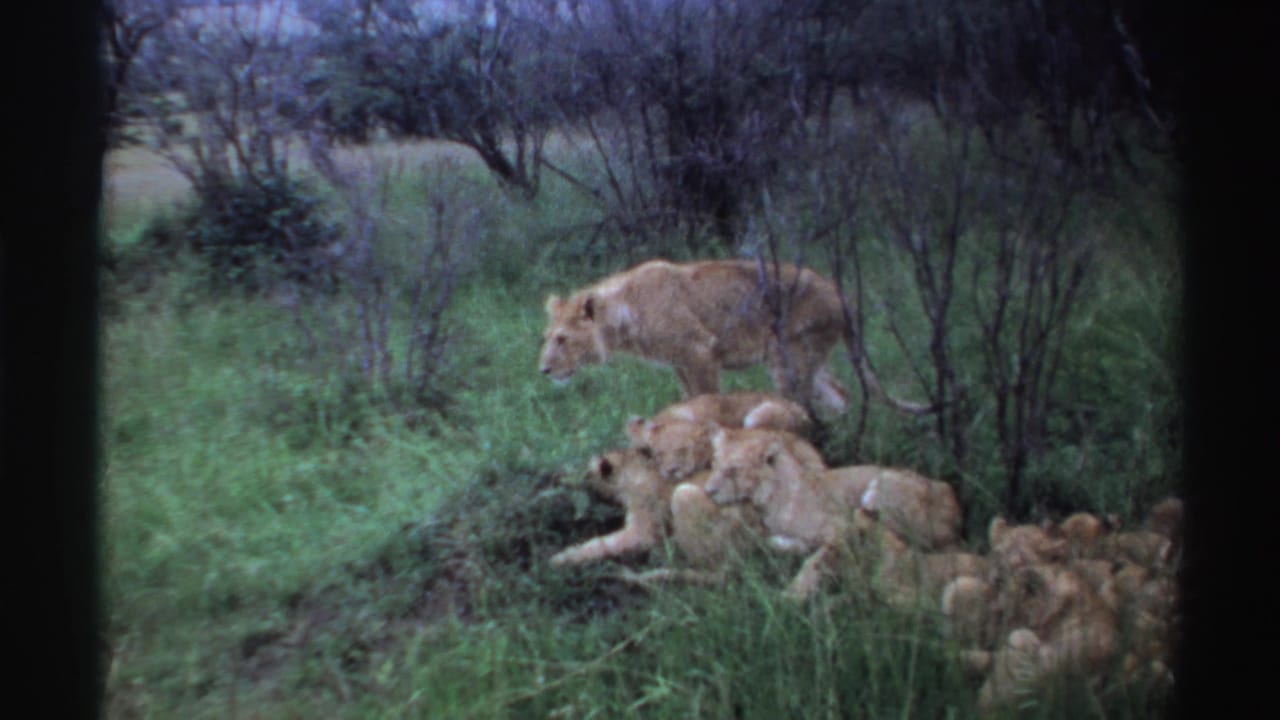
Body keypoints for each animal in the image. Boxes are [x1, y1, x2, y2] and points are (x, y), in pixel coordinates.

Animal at [538, 259, 929, 414]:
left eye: (562, 339)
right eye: (548, 337)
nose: (543, 371)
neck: (624, 311)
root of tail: (840, 293)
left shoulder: (699, 353)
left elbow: (708, 400)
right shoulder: (680, 363)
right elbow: (690, 400)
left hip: (787, 355)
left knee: (804, 402)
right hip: (810, 356)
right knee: (841, 394)